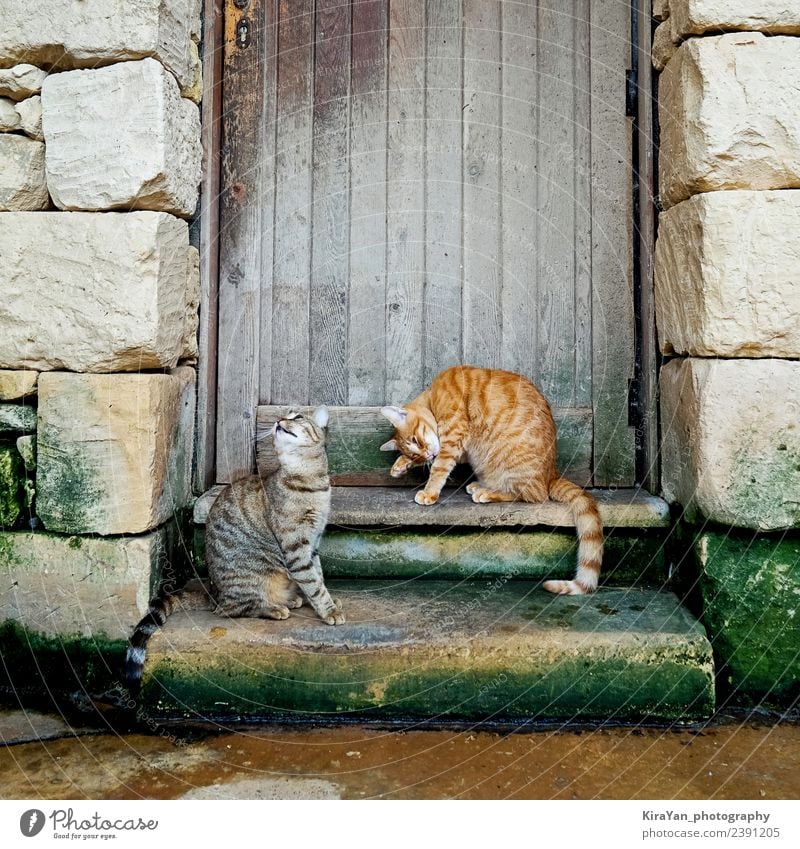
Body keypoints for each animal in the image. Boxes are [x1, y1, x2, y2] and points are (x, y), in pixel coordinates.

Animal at [380, 366, 600, 596]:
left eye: (415, 439)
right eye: (416, 455)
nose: (427, 455)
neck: (433, 397)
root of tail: (552, 474)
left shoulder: (453, 436)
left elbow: (439, 468)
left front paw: (429, 492)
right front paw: (401, 465)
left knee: (532, 495)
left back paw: (486, 492)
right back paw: (480, 485)